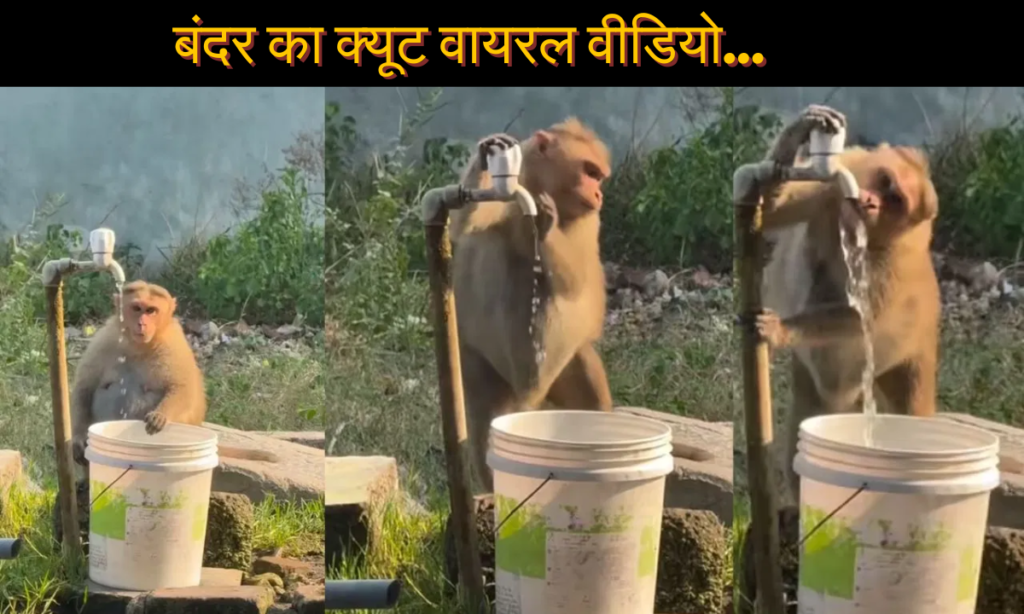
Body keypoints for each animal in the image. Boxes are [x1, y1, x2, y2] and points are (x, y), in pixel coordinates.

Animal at [69, 280, 279, 467]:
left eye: (151, 311)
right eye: (136, 308)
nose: (141, 324)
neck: (138, 347)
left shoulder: (173, 345)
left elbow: (184, 389)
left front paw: (160, 415)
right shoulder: (104, 340)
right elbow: (84, 388)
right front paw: (78, 438)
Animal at [448, 118, 614, 493]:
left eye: (599, 177)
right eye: (590, 172)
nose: (599, 195)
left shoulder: (588, 219)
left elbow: (575, 285)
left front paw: (545, 227)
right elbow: (462, 231)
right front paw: (489, 154)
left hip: (565, 366)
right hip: (485, 366)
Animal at [747, 105, 941, 506]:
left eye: (896, 200)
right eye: (885, 182)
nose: (869, 201)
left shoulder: (892, 262)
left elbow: (860, 319)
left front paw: (778, 329)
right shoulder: (833, 187)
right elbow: (771, 210)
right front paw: (800, 133)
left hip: (904, 360)